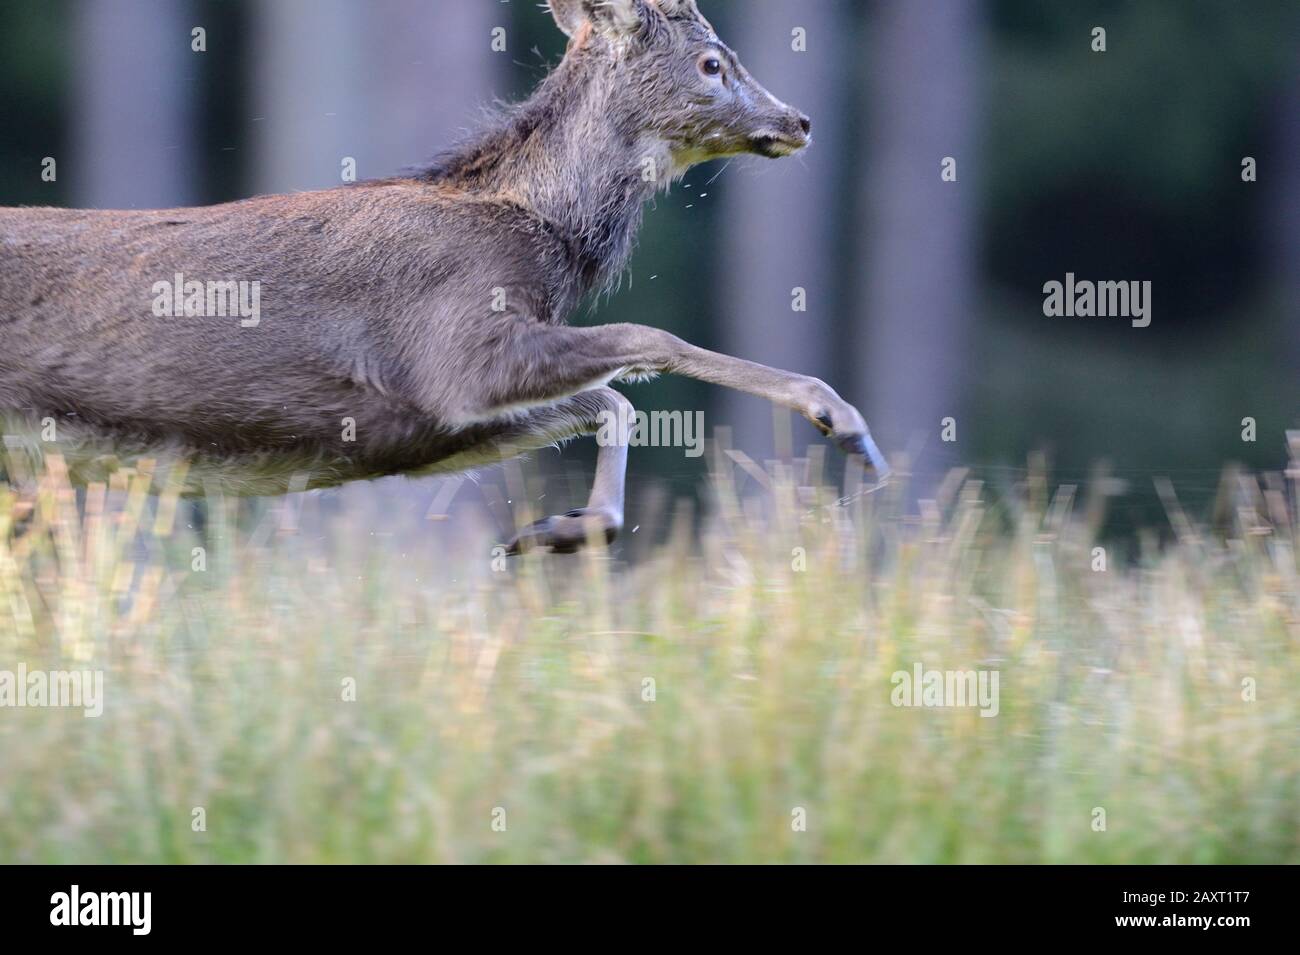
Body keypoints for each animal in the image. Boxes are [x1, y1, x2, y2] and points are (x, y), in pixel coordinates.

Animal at [0, 0, 883, 553]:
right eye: (711, 63)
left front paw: (561, 530)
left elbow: (610, 400)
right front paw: (841, 420)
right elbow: (647, 339)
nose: (798, 120)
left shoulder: (433, 418)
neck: (534, 225)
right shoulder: (455, 351)